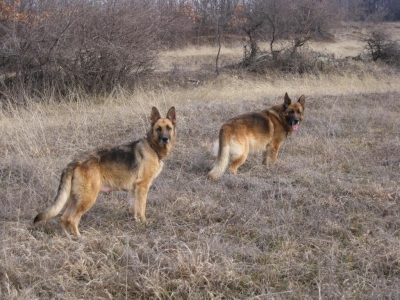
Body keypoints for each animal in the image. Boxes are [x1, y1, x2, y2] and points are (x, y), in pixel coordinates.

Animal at [34, 106, 177, 236]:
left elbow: (134, 208)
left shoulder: (134, 190)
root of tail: (74, 163)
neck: (152, 147)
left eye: (169, 128)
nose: (165, 139)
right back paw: (79, 238)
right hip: (88, 199)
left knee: (64, 218)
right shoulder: (142, 187)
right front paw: (144, 223)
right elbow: (142, 208)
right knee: (73, 219)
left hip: (75, 199)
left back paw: (68, 237)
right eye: (158, 129)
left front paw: (135, 222)